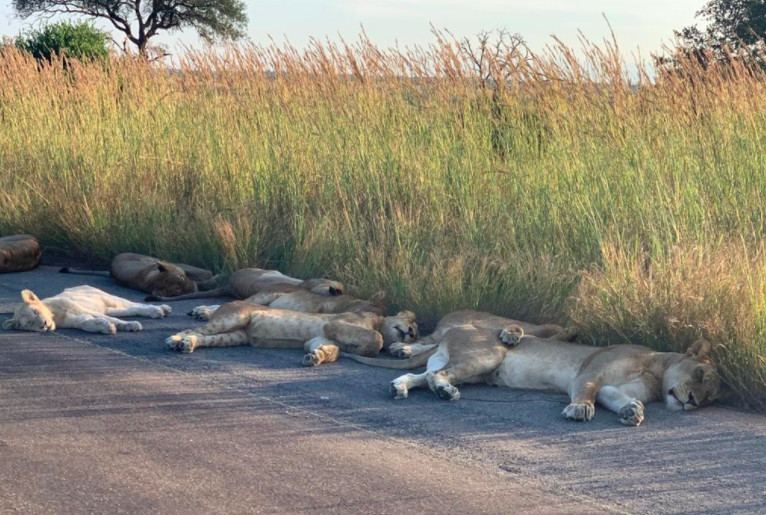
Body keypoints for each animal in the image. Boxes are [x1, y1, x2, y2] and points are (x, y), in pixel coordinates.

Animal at [2, 286, 173, 334]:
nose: (44, 324)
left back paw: (161, 309)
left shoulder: (80, 308)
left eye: (35, 312)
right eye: (29, 324)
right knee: (129, 310)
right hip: (109, 308)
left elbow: (114, 320)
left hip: (108, 297)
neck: (55, 315)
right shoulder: (76, 320)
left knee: (134, 304)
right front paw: (106, 328)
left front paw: (131, 326)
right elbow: (86, 324)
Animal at [166, 300, 420, 368]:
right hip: (233, 318)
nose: (410, 332)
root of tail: (227, 303)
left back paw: (188, 344)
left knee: (204, 337)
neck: (378, 321)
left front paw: (316, 357)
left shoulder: (317, 338)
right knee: (193, 329)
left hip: (235, 336)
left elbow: (333, 350)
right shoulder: (335, 323)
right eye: (411, 323)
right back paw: (174, 340)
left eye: (416, 334)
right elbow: (376, 339)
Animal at [352, 322, 724, 428]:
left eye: (711, 398)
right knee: (436, 376)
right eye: (700, 373)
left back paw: (399, 388)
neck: (655, 371)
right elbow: (586, 391)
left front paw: (633, 411)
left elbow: (617, 398)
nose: (692, 402)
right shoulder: (589, 373)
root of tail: (453, 329)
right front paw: (580, 409)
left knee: (421, 376)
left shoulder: (612, 388)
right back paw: (445, 392)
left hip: (470, 369)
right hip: (488, 354)